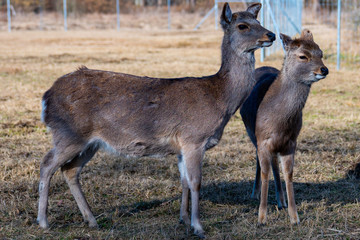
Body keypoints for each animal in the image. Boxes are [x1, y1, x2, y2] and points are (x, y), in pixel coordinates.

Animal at [38, 2, 274, 237]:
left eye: (258, 21)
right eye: (243, 26)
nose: (270, 34)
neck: (220, 99)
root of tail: (46, 98)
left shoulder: (181, 147)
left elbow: (184, 182)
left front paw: (184, 219)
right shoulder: (193, 139)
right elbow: (196, 182)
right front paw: (198, 227)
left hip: (90, 143)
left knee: (70, 170)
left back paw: (91, 220)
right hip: (69, 133)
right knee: (47, 164)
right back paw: (43, 221)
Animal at [240, 29, 328, 226]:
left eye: (321, 53)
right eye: (303, 56)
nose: (324, 69)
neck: (279, 123)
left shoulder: (291, 142)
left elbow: (288, 174)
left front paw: (294, 217)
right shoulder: (263, 140)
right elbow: (265, 173)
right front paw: (262, 217)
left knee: (274, 163)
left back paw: (281, 201)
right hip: (251, 133)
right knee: (260, 162)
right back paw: (255, 193)